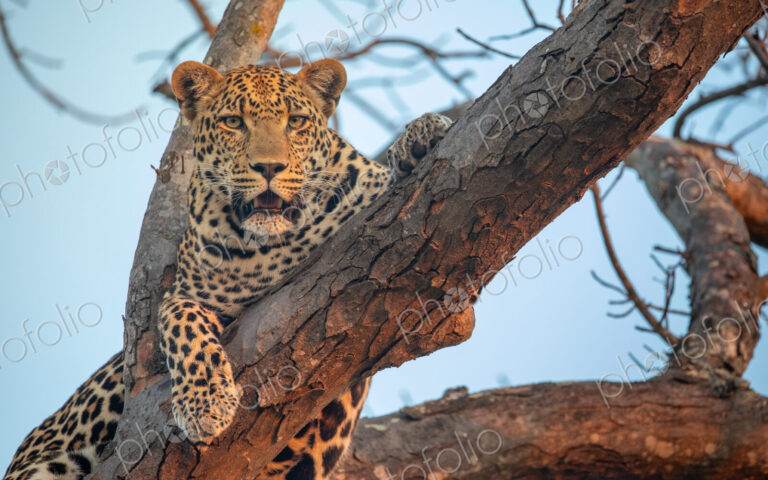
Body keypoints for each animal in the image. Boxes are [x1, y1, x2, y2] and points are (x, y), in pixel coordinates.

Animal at [3, 58, 453, 480]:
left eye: (296, 121)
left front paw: (423, 135)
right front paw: (205, 404)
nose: (269, 168)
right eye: (234, 122)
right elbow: (183, 324)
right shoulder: (183, 293)